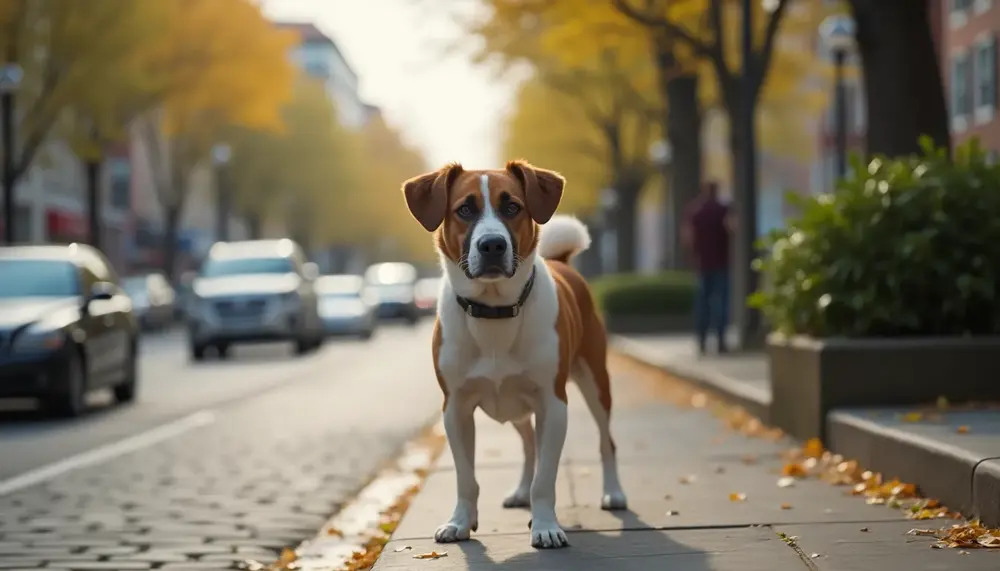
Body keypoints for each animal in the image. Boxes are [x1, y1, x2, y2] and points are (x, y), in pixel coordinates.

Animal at [400, 160, 624, 548]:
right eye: (464, 209)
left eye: (512, 207)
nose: (492, 244)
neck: (494, 312)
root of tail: (563, 263)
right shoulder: (455, 408)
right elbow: (465, 476)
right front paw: (460, 521)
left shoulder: (553, 403)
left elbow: (545, 478)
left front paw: (546, 524)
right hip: (517, 406)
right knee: (529, 443)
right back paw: (521, 491)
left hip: (596, 382)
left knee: (605, 440)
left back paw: (613, 493)